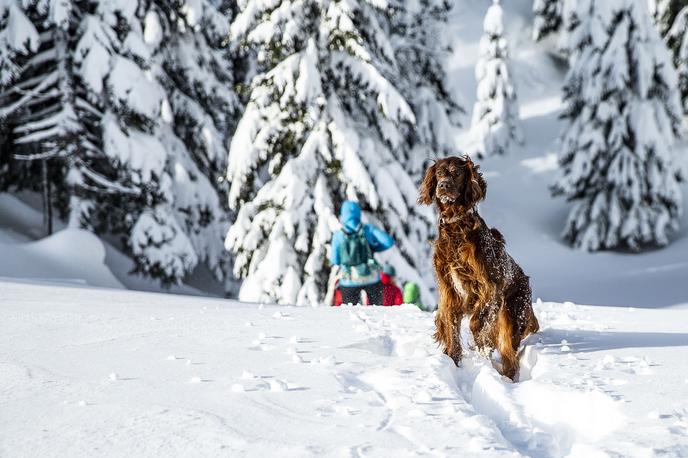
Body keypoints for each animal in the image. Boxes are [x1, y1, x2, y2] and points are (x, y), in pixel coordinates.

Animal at [420, 155, 536, 380]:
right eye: (439, 173)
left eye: (457, 173)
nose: (442, 186)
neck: (456, 226)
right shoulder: (449, 290)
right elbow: (451, 327)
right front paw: (453, 360)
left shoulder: (491, 286)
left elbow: (477, 322)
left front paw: (481, 343)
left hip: (513, 313)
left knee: (509, 354)